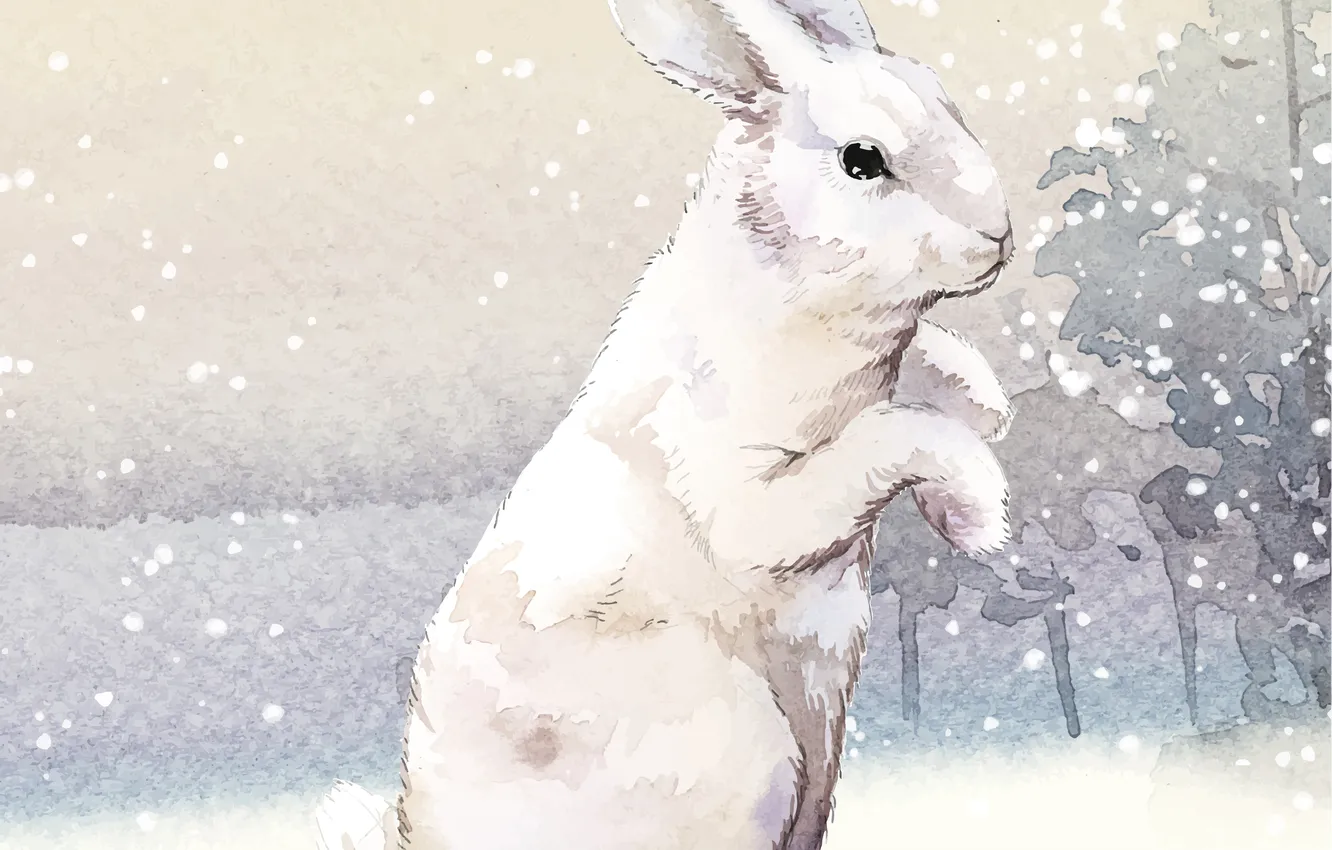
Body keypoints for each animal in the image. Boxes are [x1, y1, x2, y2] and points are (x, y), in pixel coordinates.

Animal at [314, 1, 1014, 848]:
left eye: (943, 95)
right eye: (862, 160)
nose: (998, 233)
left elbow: (943, 374)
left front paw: (983, 430)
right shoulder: (757, 501)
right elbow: (896, 438)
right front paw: (981, 517)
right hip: (749, 757)